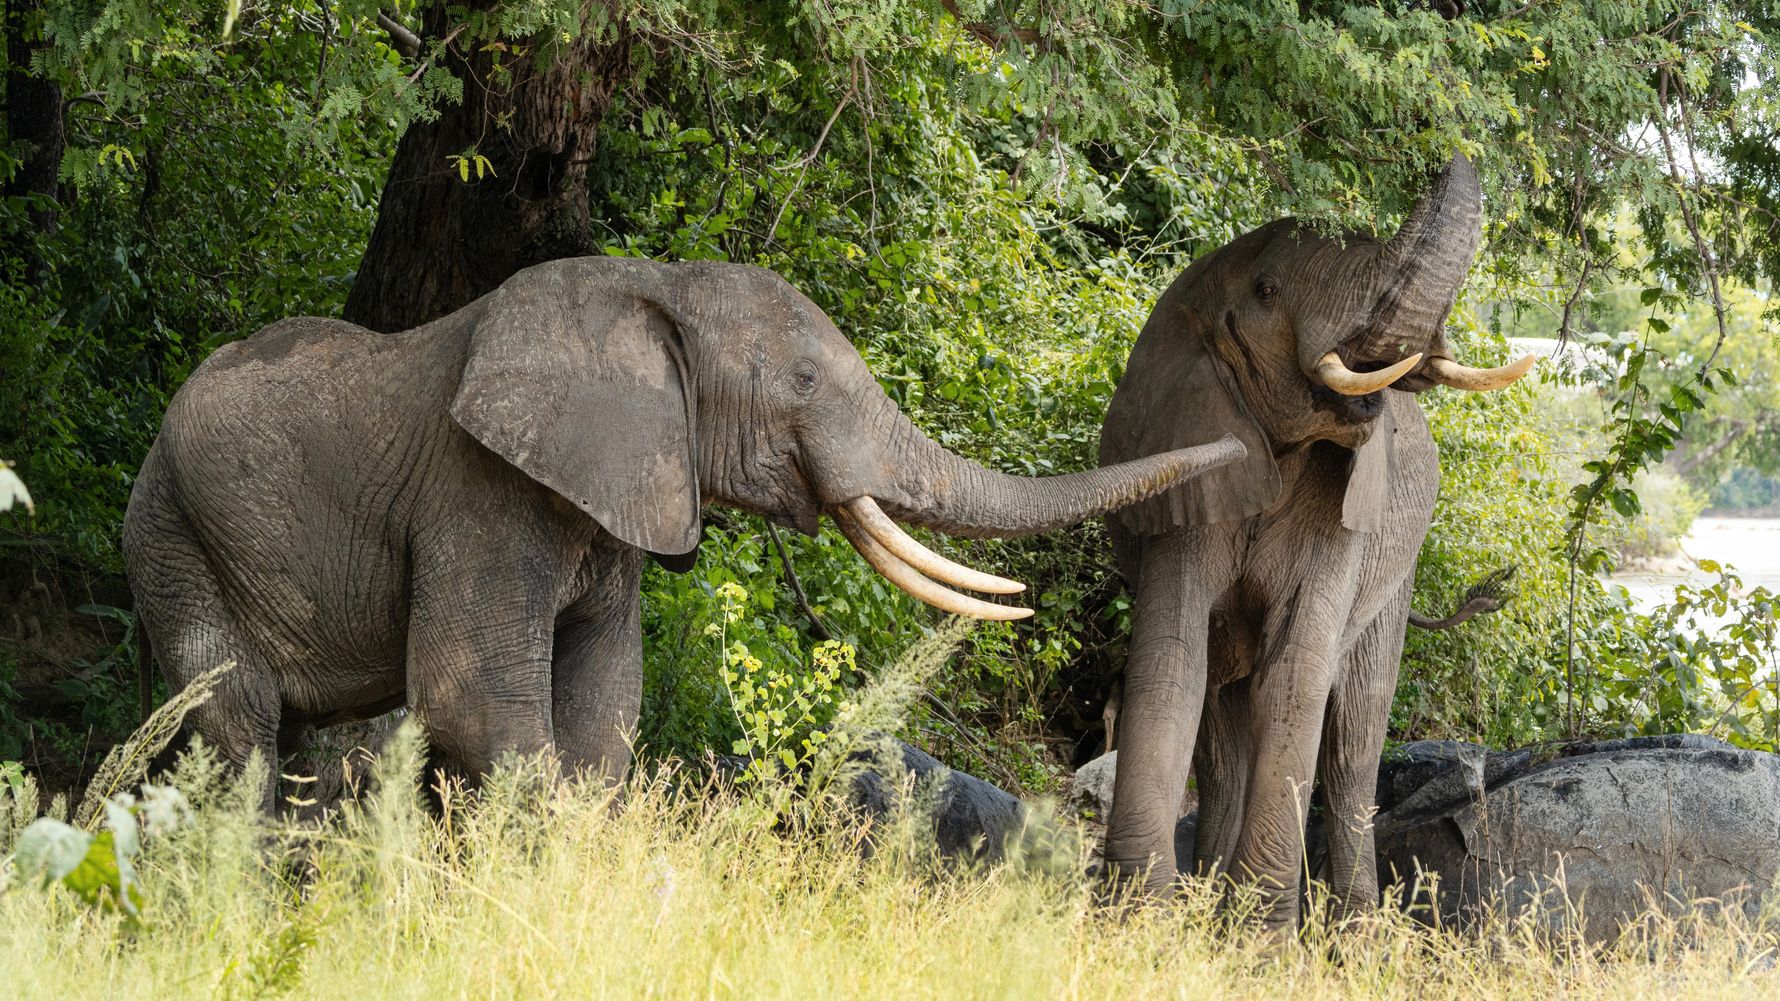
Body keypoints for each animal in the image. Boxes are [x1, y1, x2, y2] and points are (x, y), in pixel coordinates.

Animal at [122, 256, 1245, 809]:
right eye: (802, 381)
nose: (1243, 448)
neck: (652, 283)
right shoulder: (478, 491)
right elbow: (470, 696)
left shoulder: (613, 491)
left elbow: (603, 702)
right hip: (171, 530)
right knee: (237, 721)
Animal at [1095, 155, 1533, 930]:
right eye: (1267, 291)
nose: (1448, 153)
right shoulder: (1189, 474)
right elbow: (1172, 660)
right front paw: (1144, 921)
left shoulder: (1346, 515)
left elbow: (1297, 675)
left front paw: (1255, 938)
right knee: (1224, 735)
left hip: (1396, 578)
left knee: (1354, 739)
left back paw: (1354, 934)